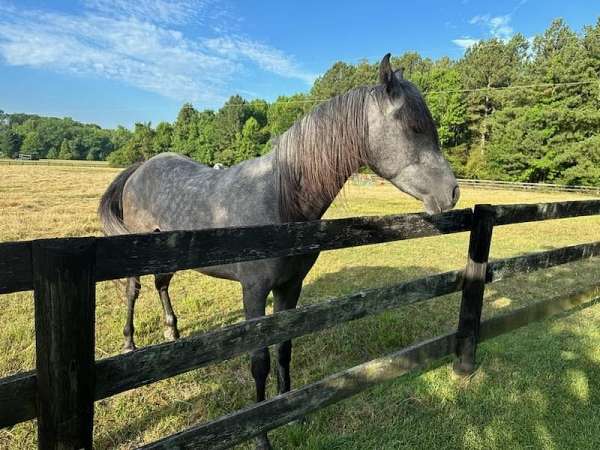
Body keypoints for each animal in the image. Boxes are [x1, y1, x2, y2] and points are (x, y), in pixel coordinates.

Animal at [98, 54, 460, 448]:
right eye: (413, 128)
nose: (452, 192)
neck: (280, 200)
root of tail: (140, 168)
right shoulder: (254, 292)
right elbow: (259, 360)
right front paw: (261, 434)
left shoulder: (290, 287)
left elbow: (284, 347)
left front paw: (291, 410)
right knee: (133, 290)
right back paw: (130, 343)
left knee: (162, 284)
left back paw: (171, 332)